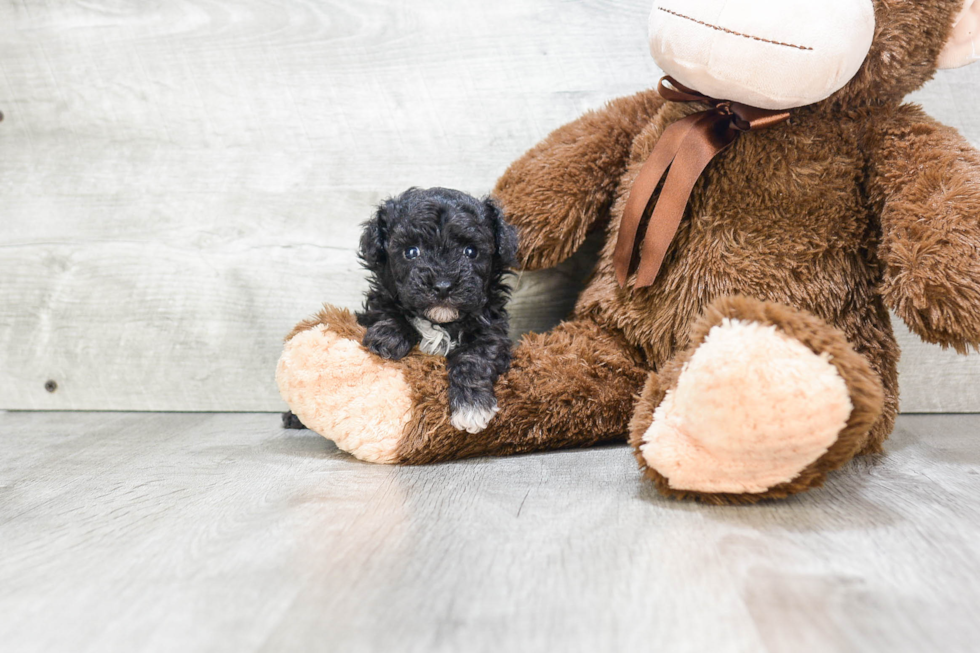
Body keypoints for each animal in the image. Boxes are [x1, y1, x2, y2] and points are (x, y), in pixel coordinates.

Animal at [354, 188, 520, 432]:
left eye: (470, 251)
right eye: (411, 252)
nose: (443, 285)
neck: (441, 322)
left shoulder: (492, 332)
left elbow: (475, 358)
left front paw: (472, 406)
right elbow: (385, 307)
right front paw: (388, 336)